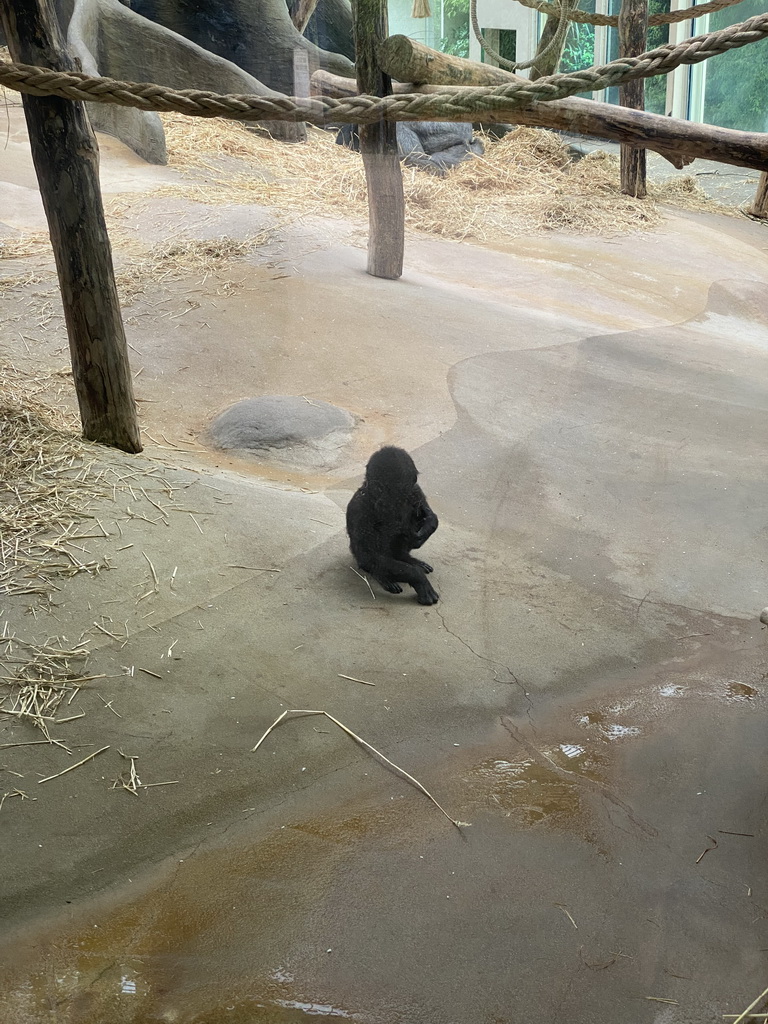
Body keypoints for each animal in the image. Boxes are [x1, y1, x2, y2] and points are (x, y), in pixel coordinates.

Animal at [348, 446, 438, 602]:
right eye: (381, 488)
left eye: (398, 492)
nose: (384, 501)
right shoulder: (359, 511)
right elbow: (369, 555)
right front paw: (418, 578)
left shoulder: (415, 489)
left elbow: (425, 512)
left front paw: (429, 525)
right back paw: (383, 577)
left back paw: (407, 558)